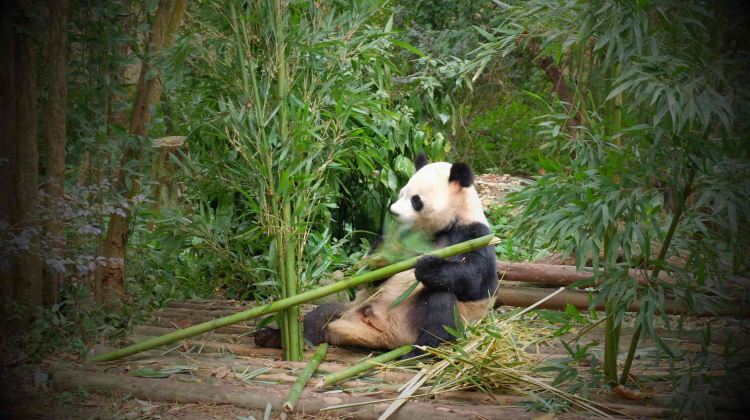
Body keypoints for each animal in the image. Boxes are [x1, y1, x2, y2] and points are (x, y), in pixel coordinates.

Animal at [255, 155, 498, 358]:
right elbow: (377, 269)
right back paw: (272, 337)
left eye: (416, 200)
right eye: (402, 192)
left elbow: (473, 278)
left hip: (423, 320)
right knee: (318, 317)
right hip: (348, 309)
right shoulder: (402, 237)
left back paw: (420, 351)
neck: (441, 226)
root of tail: (381, 333)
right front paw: (375, 265)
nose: (393, 212)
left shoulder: (473, 234)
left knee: (440, 306)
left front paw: (426, 265)